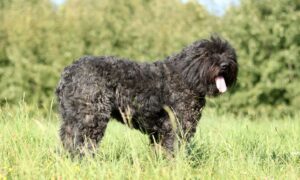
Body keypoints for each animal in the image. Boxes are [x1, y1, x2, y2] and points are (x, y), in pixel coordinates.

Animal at [56, 36, 238, 155]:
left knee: (68, 141)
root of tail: (68, 73)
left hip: (71, 120)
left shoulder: (159, 132)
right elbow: (173, 151)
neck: (186, 75)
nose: (224, 65)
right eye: (207, 54)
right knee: (82, 144)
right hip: (91, 118)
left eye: (228, 54)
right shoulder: (176, 126)